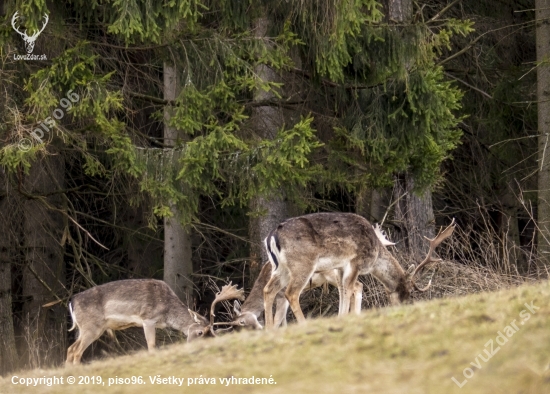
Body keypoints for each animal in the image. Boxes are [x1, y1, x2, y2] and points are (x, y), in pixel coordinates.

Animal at [65, 278, 246, 364]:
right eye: (200, 332)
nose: (193, 347)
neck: (167, 311)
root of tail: (72, 301)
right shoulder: (148, 318)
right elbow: (151, 346)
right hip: (91, 327)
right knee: (77, 351)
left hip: (87, 329)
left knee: (70, 349)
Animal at [230, 264, 364, 330]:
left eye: (242, 322)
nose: (258, 328)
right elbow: (283, 318)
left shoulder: (281, 295)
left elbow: (277, 319)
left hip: (332, 273)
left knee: (358, 285)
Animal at [264, 214, 458, 328]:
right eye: (409, 291)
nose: (402, 308)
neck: (375, 254)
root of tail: (271, 237)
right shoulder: (355, 262)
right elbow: (348, 289)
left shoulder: (340, 267)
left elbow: (343, 290)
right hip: (302, 264)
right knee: (291, 293)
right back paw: (303, 324)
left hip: (280, 268)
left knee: (268, 290)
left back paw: (269, 330)